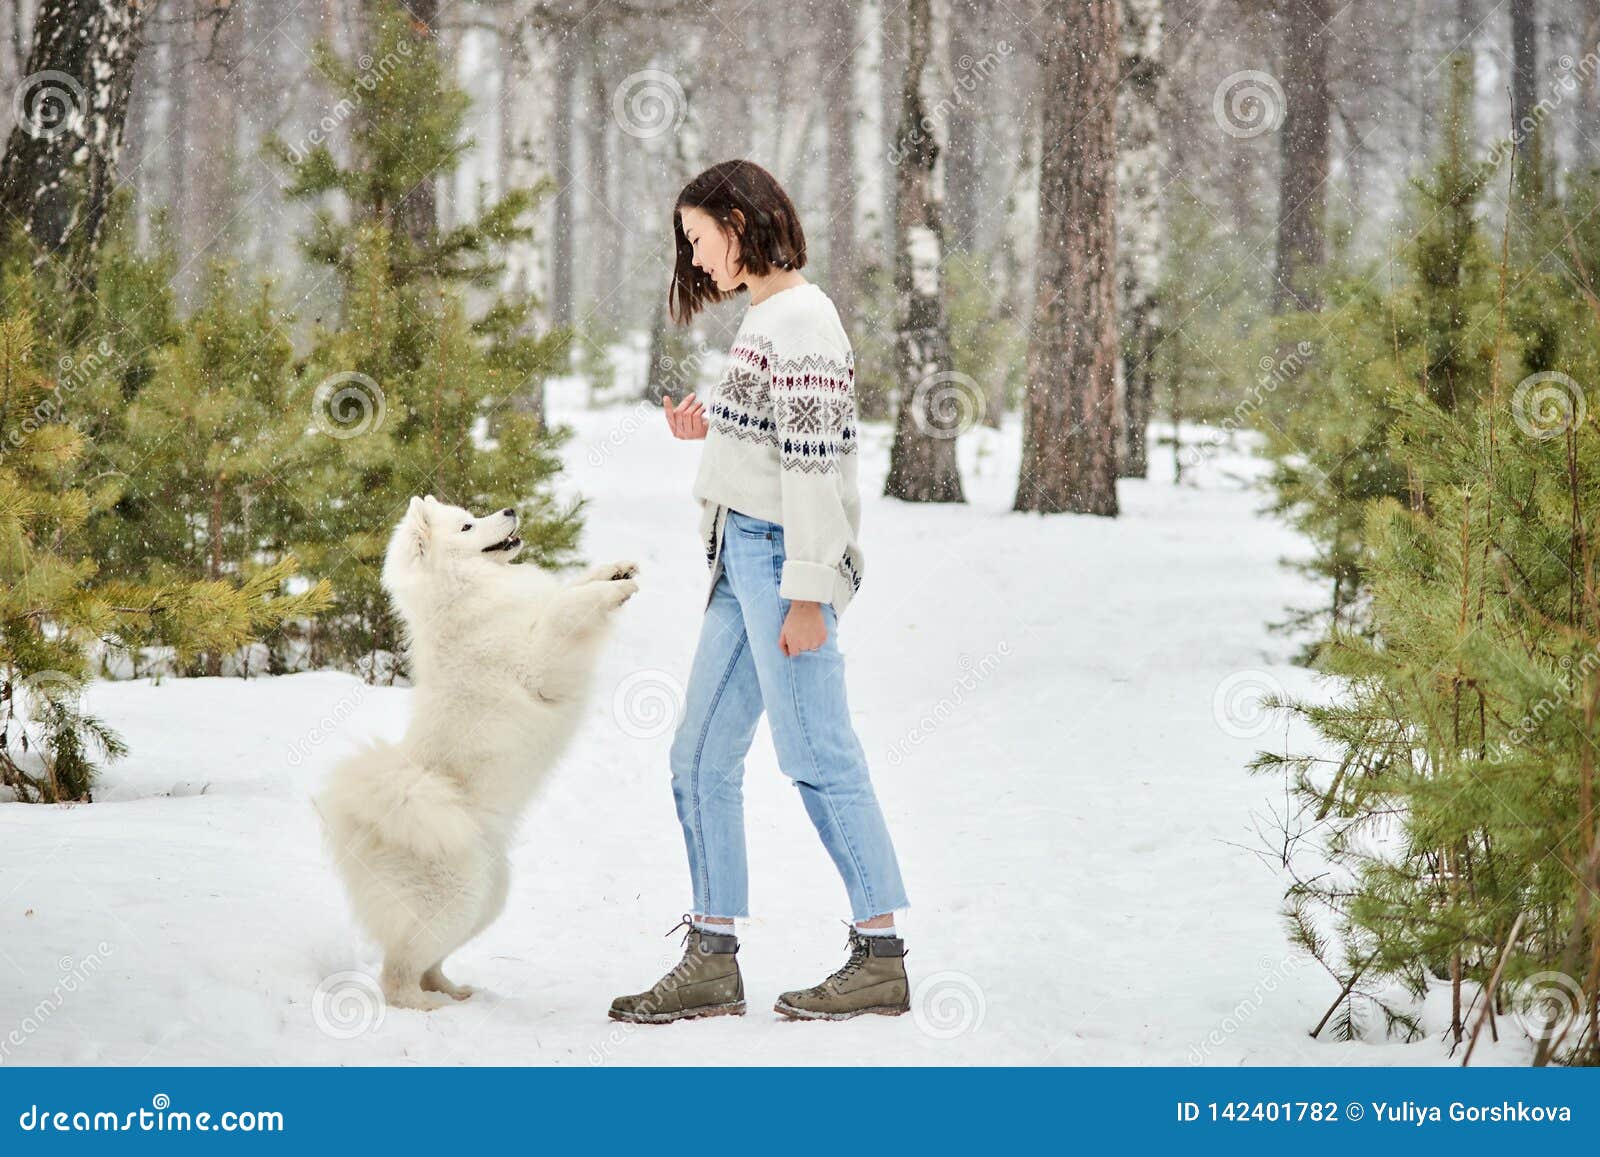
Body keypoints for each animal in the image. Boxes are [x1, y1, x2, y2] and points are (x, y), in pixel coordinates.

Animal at [315, 492, 640, 1011]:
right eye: (467, 527)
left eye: (472, 514)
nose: (510, 510)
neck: (468, 593)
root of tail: (367, 827)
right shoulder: (539, 660)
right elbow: (565, 606)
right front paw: (612, 590)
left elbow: (568, 589)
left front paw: (615, 572)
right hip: (450, 904)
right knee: (397, 975)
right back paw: (428, 1005)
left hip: (487, 900)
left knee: (429, 965)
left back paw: (455, 992)